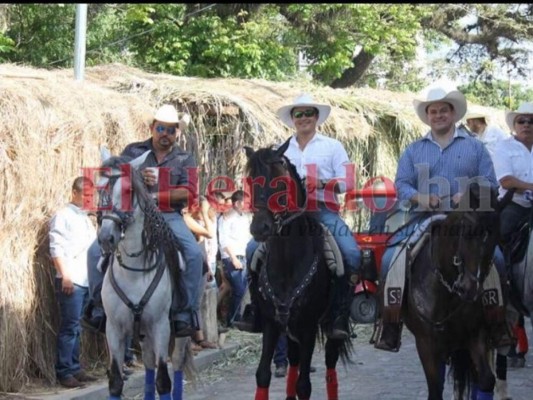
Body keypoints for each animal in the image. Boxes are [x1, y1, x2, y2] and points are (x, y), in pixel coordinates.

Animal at [243, 140, 352, 400]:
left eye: (281, 182)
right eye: (251, 181)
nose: (260, 228)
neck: (287, 263)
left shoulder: (308, 327)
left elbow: (304, 386)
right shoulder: (272, 324)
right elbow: (263, 375)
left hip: (329, 330)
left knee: (330, 366)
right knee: (293, 361)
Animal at [400, 183, 508, 398]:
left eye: (494, 238)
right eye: (466, 231)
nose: (469, 288)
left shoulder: (475, 335)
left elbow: (485, 380)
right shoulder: (426, 345)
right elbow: (435, 389)